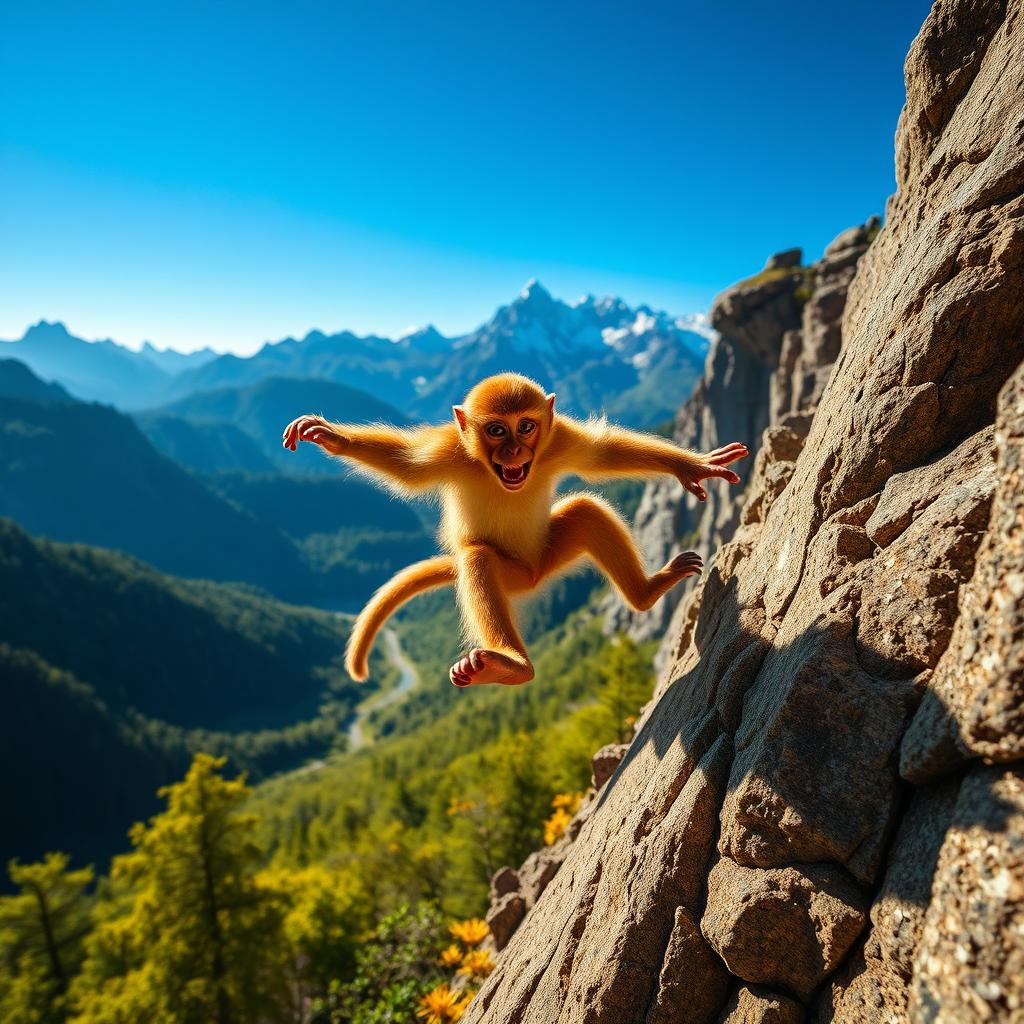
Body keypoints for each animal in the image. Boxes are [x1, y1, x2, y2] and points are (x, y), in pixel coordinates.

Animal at [282, 373, 748, 688]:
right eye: (495, 429)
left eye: (525, 425)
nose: (513, 451)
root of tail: (535, 575)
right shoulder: (451, 450)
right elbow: (405, 465)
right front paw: (333, 438)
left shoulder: (558, 439)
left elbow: (601, 454)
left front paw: (691, 466)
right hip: (516, 576)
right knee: (478, 558)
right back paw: (511, 665)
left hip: (549, 556)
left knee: (583, 511)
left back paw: (646, 593)